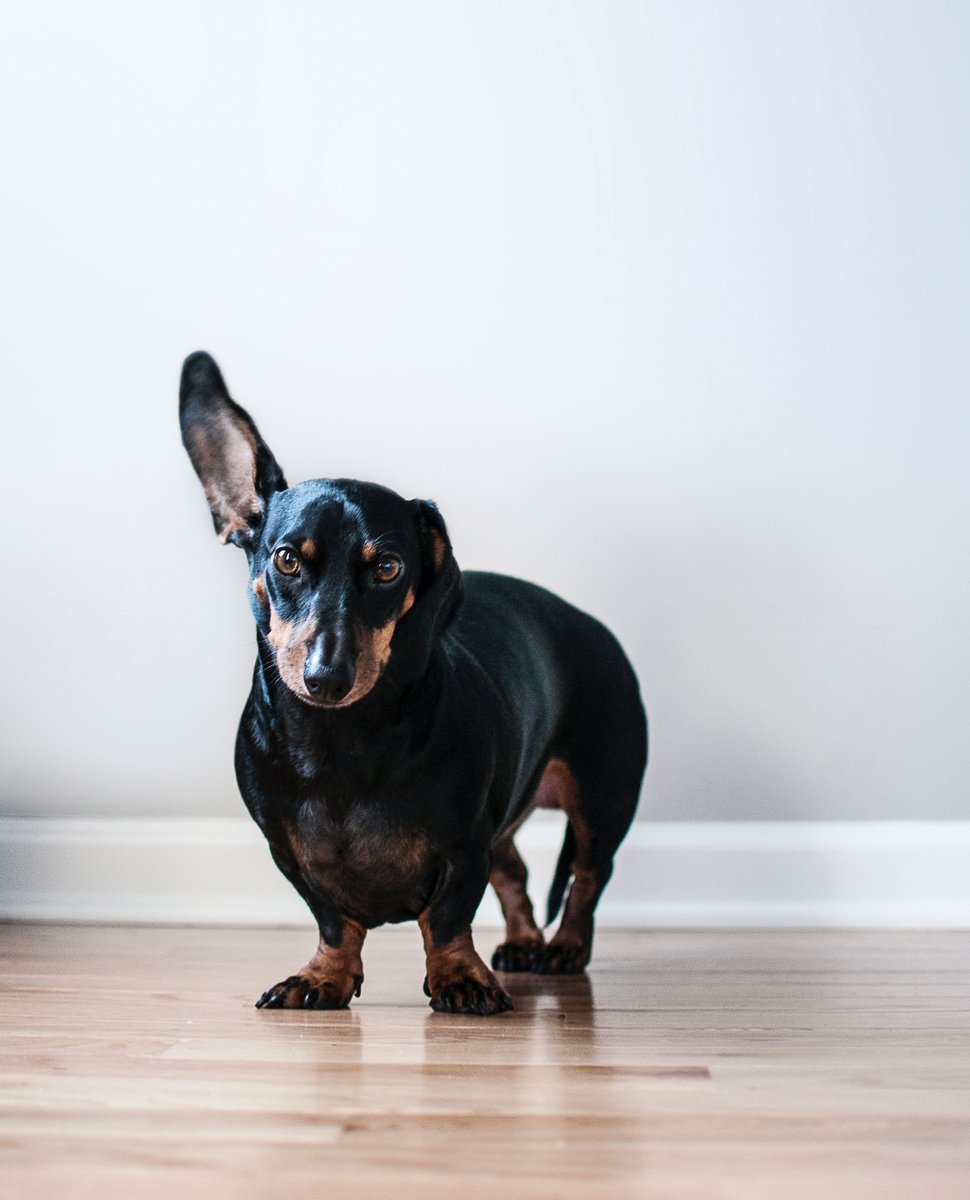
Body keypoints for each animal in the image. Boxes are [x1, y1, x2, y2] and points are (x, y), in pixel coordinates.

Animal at [180, 350, 653, 1017]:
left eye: (387, 567)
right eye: (286, 559)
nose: (326, 677)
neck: (339, 741)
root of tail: (589, 623)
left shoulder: (464, 844)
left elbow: (448, 917)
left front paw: (459, 975)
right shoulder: (290, 854)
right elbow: (334, 921)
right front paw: (324, 976)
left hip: (602, 797)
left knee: (586, 878)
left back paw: (563, 948)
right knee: (515, 874)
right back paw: (524, 942)